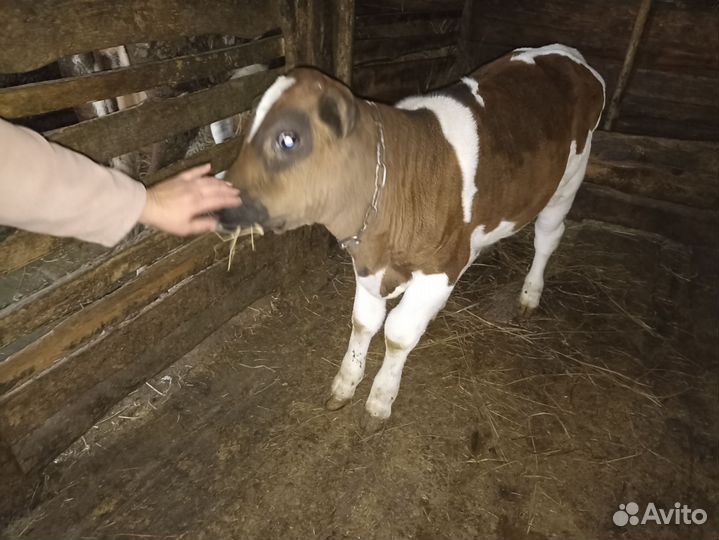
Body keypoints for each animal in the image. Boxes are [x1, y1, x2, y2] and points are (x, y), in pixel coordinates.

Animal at [219, 44, 605, 430]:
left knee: (547, 238)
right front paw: (346, 383)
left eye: (288, 139)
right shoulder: (368, 262)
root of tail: (564, 52)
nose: (220, 200)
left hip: (566, 183)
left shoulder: (437, 269)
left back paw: (529, 294)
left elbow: (398, 334)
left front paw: (379, 400)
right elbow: (364, 321)